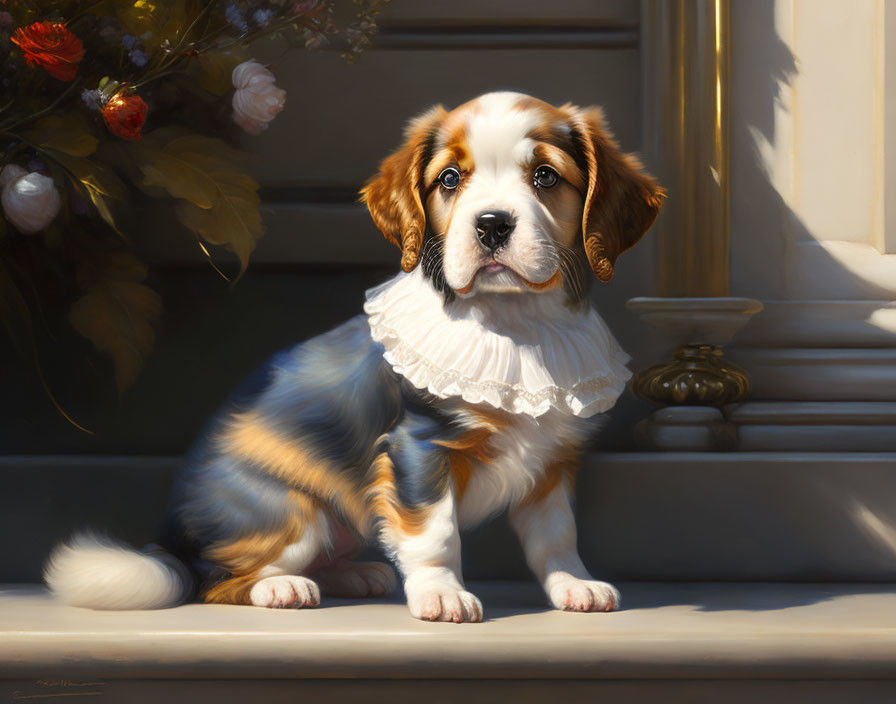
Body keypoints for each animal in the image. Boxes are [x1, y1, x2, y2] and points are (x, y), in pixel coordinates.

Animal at [47, 92, 664, 620]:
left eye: (545, 177)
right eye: (449, 179)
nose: (491, 225)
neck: (519, 325)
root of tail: (171, 538)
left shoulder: (551, 461)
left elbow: (556, 536)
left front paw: (574, 585)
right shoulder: (419, 446)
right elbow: (435, 532)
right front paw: (442, 595)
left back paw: (354, 574)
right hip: (293, 513)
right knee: (212, 578)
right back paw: (281, 587)